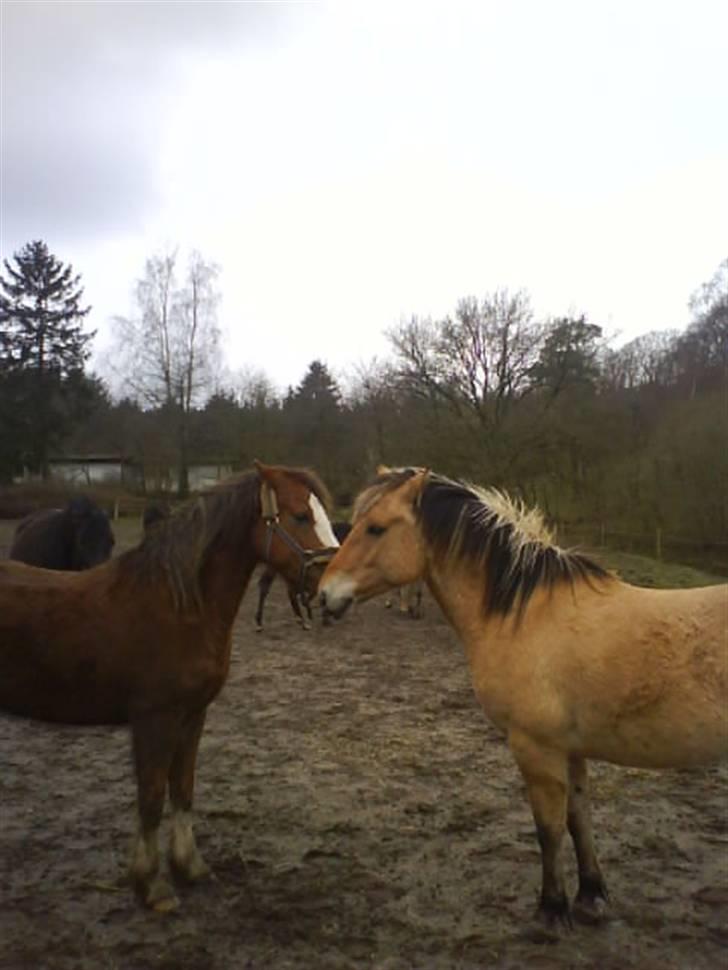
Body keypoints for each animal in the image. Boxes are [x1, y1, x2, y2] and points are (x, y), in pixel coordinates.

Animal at [0, 462, 339, 911]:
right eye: (301, 516)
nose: (331, 584)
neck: (180, 606)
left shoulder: (192, 715)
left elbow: (182, 790)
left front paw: (189, 866)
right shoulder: (154, 719)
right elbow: (151, 797)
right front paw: (152, 886)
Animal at [319, 467, 728, 930]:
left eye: (375, 528)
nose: (325, 594)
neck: (526, 614)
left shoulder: (536, 748)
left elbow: (548, 829)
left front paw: (551, 909)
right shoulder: (570, 750)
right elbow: (578, 819)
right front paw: (591, 896)